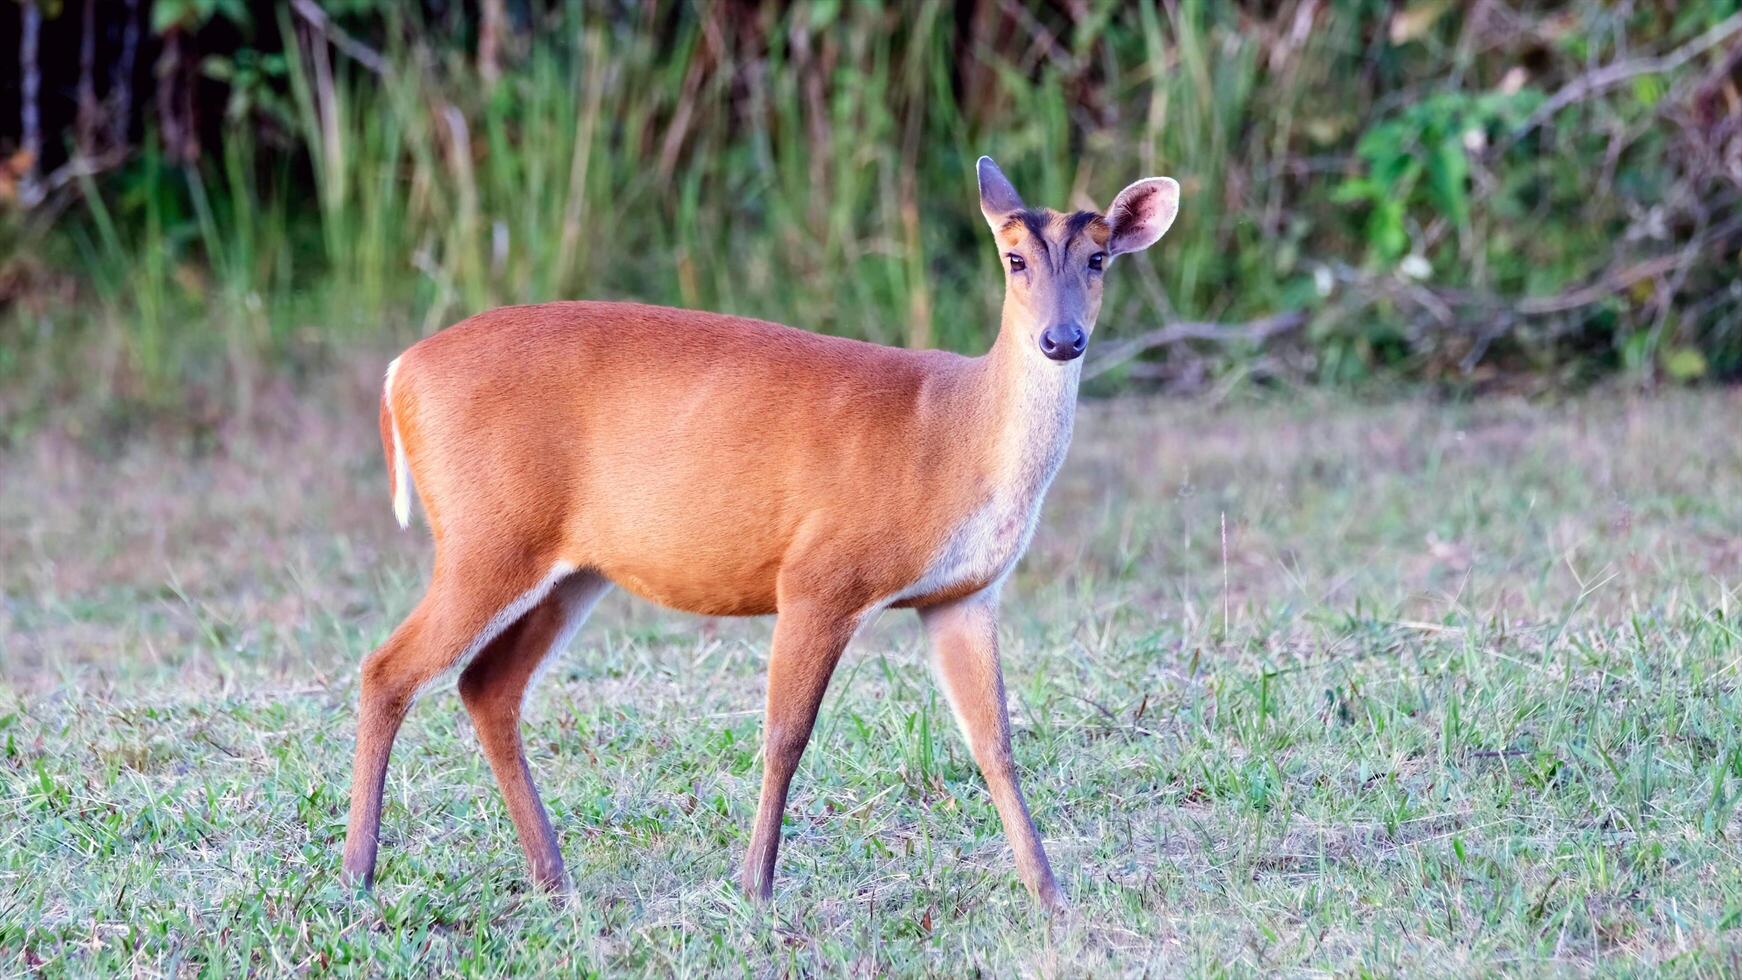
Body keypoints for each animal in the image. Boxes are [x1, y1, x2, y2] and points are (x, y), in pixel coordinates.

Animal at [339, 154, 1184, 912]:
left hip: (571, 567)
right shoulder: (819, 574)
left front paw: (1051, 896)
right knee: (387, 668)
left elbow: (996, 743)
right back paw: (359, 875)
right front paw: (755, 887)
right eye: (1014, 259)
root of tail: (399, 373)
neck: (957, 434)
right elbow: (786, 735)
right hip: (486, 534)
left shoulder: (963, 594)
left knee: (487, 685)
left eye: (1100, 258)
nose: (1061, 339)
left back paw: (554, 879)